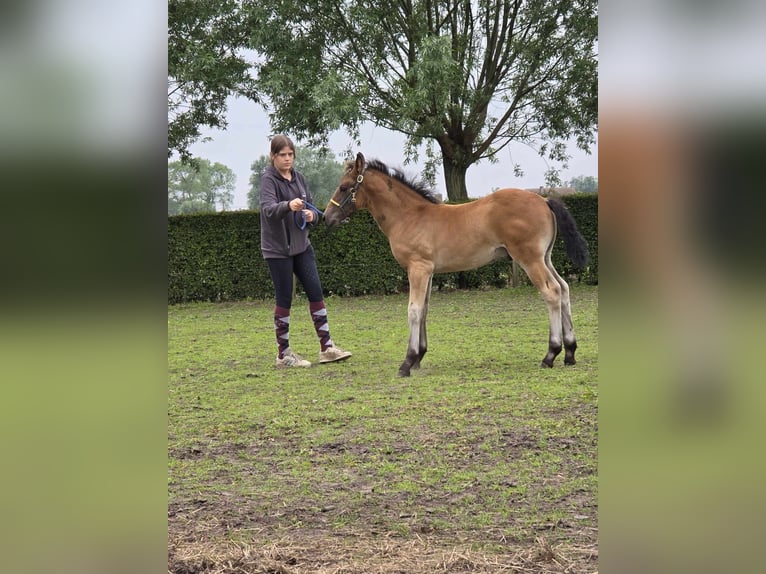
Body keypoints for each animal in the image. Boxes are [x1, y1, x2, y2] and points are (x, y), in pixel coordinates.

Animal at [322, 153, 588, 378]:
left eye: (344, 187)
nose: (326, 217)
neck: (409, 216)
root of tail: (544, 200)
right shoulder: (428, 271)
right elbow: (424, 309)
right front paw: (419, 356)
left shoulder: (417, 268)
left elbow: (413, 310)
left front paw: (407, 362)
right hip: (545, 258)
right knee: (564, 289)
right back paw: (570, 352)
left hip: (530, 259)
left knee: (552, 292)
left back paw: (551, 354)